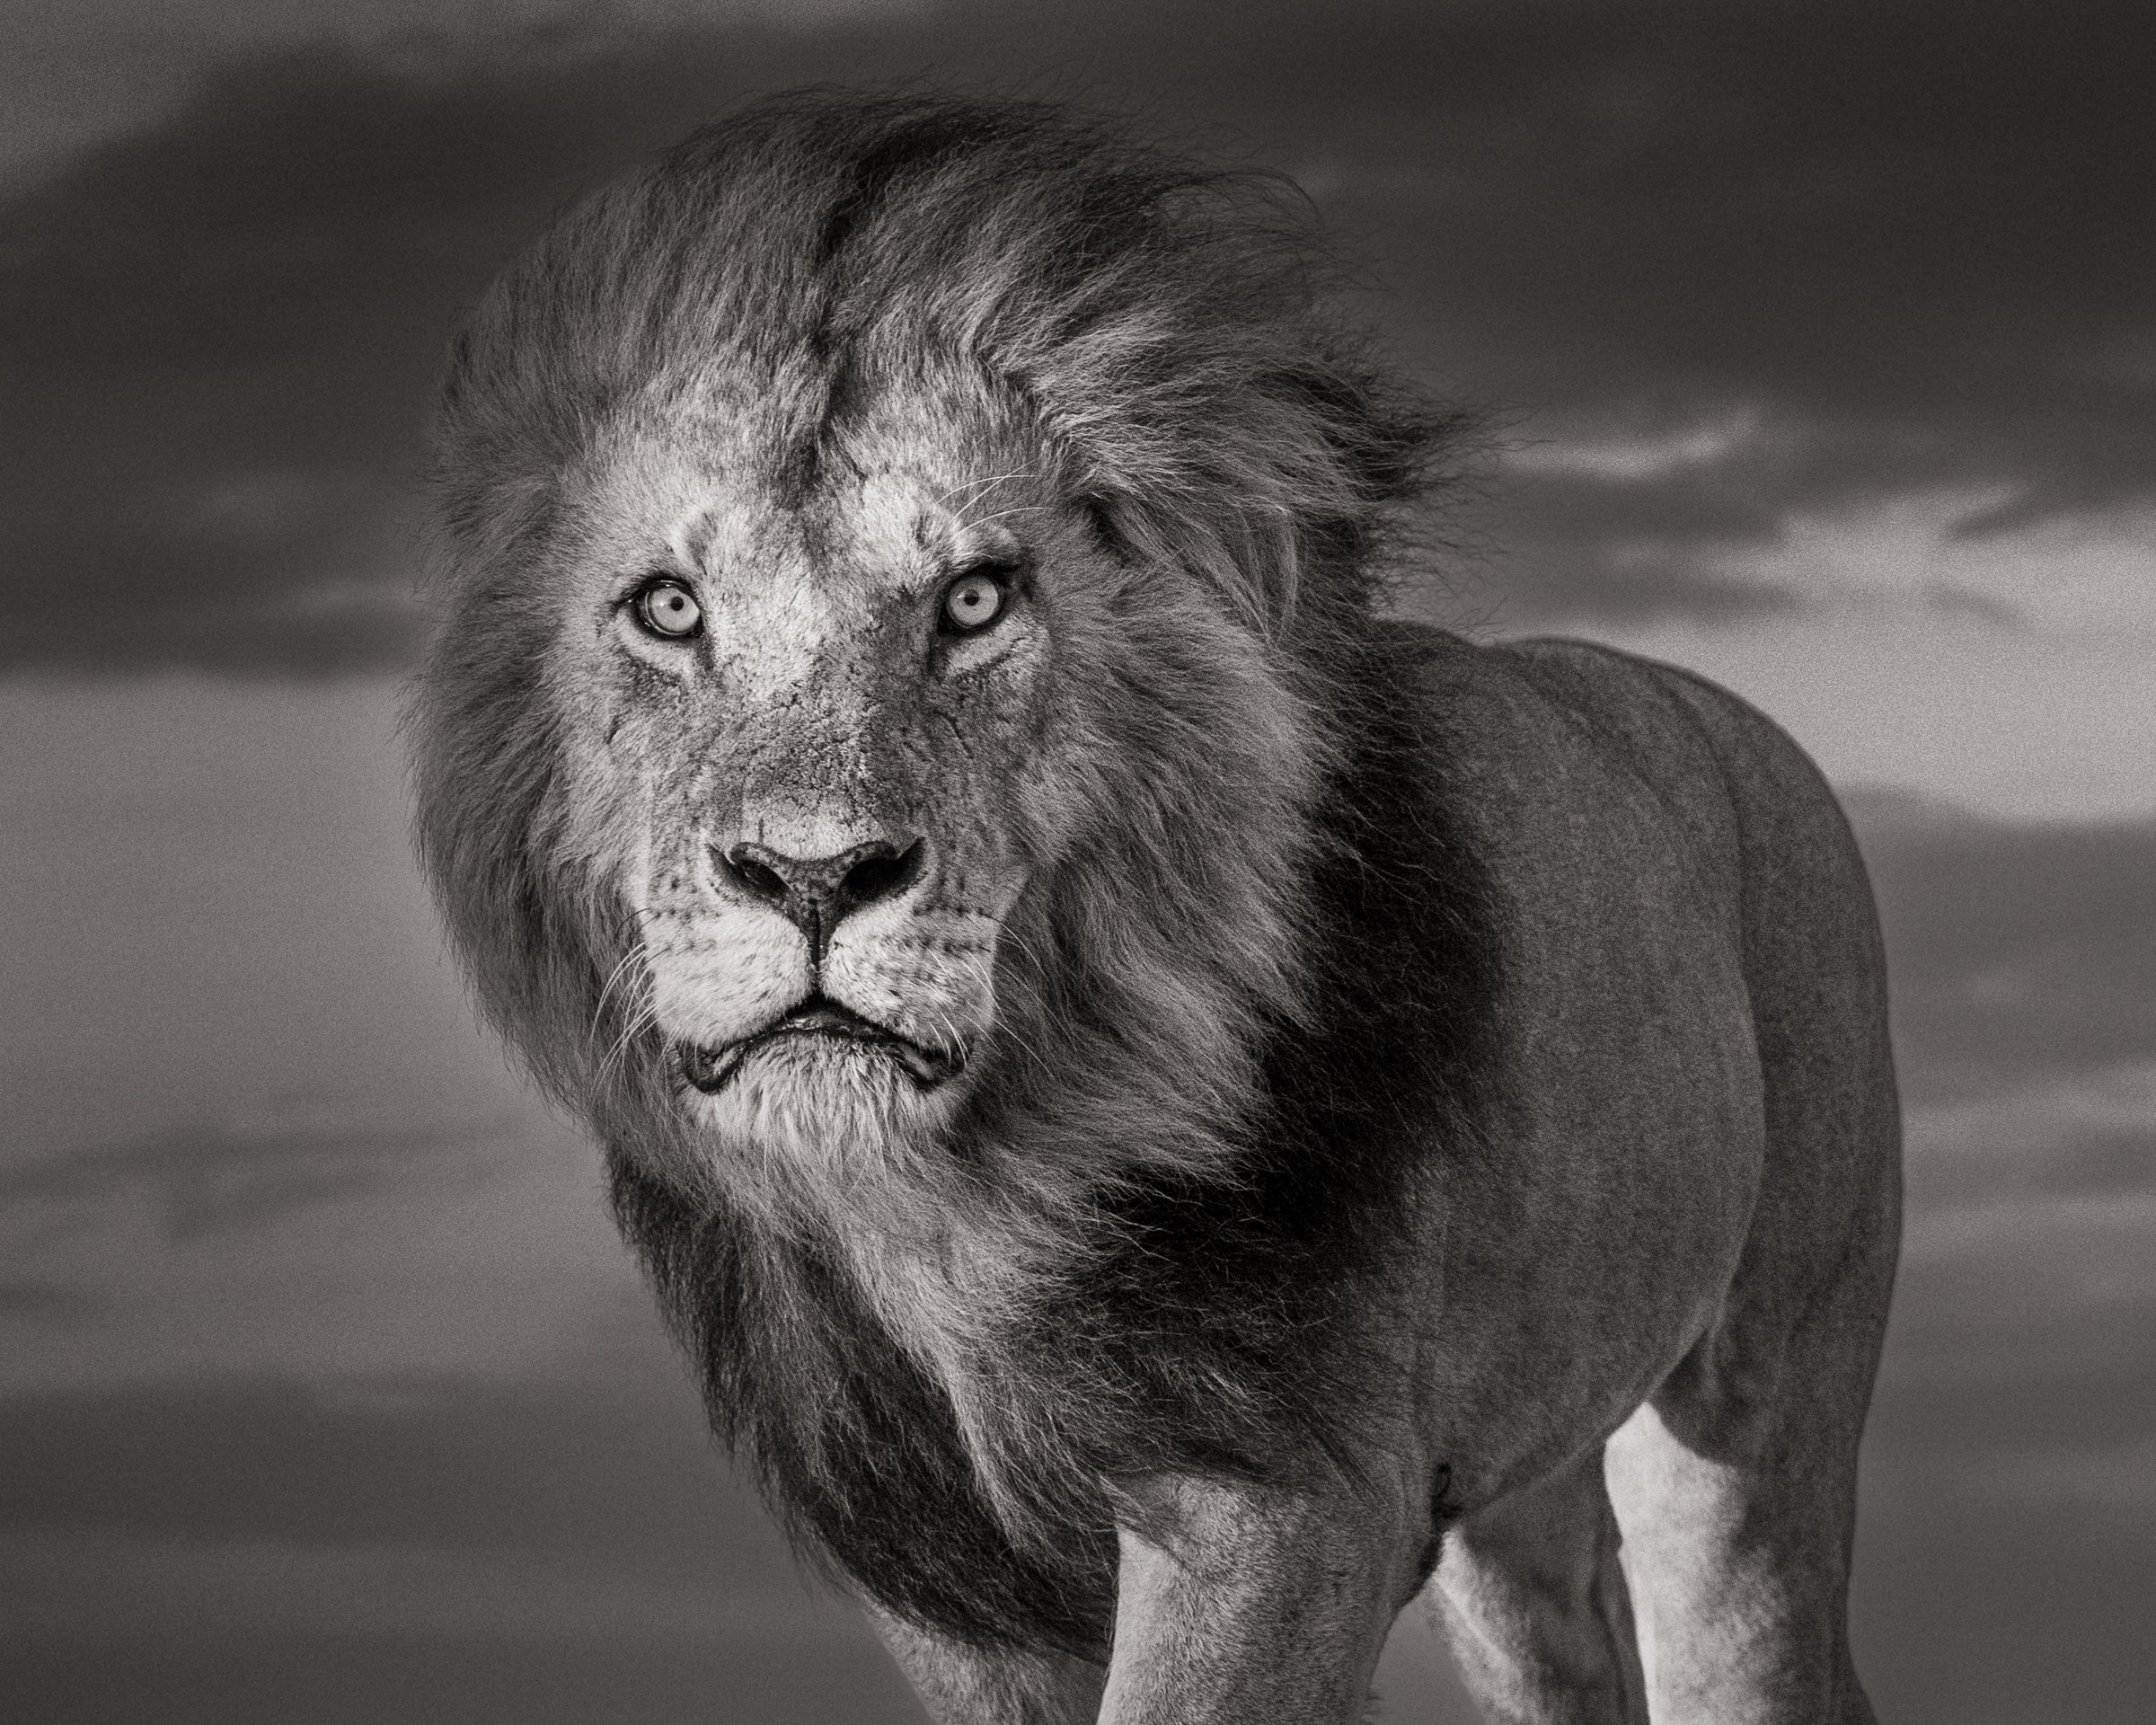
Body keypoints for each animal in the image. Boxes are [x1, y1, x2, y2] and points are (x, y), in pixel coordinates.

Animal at [409, 91, 1901, 1723]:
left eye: (977, 599)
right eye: (670, 610)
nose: (812, 876)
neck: (959, 1204)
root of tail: (1731, 721)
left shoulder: (1283, 1497)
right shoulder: (952, 1583)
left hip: (1759, 1411)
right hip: (1521, 1496)